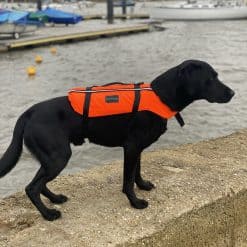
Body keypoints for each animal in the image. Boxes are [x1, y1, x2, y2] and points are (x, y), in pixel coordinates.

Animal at [0, 59, 234, 220]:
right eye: (211, 78)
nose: (232, 93)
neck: (160, 95)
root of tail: (28, 113)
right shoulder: (131, 147)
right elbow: (127, 180)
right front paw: (135, 202)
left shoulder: (137, 148)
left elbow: (137, 172)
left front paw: (143, 185)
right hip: (58, 156)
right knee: (32, 187)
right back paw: (48, 214)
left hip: (50, 158)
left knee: (39, 183)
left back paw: (55, 199)